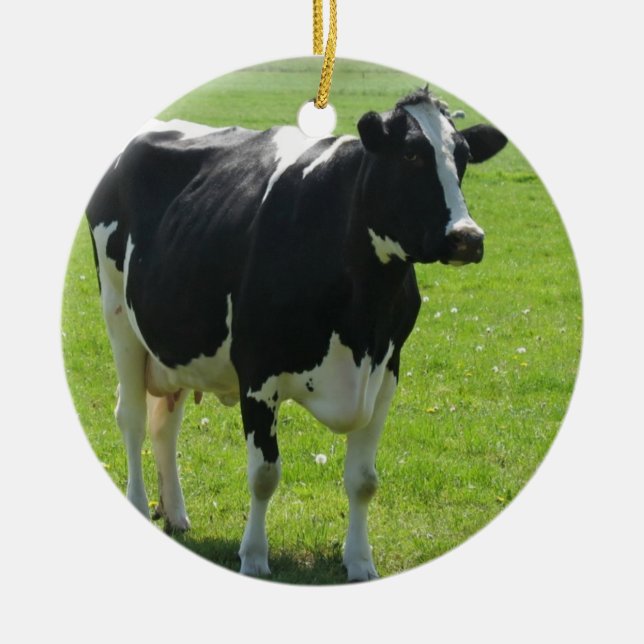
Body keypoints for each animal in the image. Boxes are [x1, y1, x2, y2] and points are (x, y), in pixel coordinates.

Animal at [86, 88, 507, 582]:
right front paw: (253, 557)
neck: (362, 315)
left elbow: (364, 481)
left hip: (174, 343)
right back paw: (137, 504)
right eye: (410, 155)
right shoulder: (257, 372)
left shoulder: (387, 370)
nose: (468, 237)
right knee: (131, 418)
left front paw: (360, 562)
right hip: (119, 319)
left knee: (164, 426)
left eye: (462, 158)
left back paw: (176, 513)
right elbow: (264, 474)